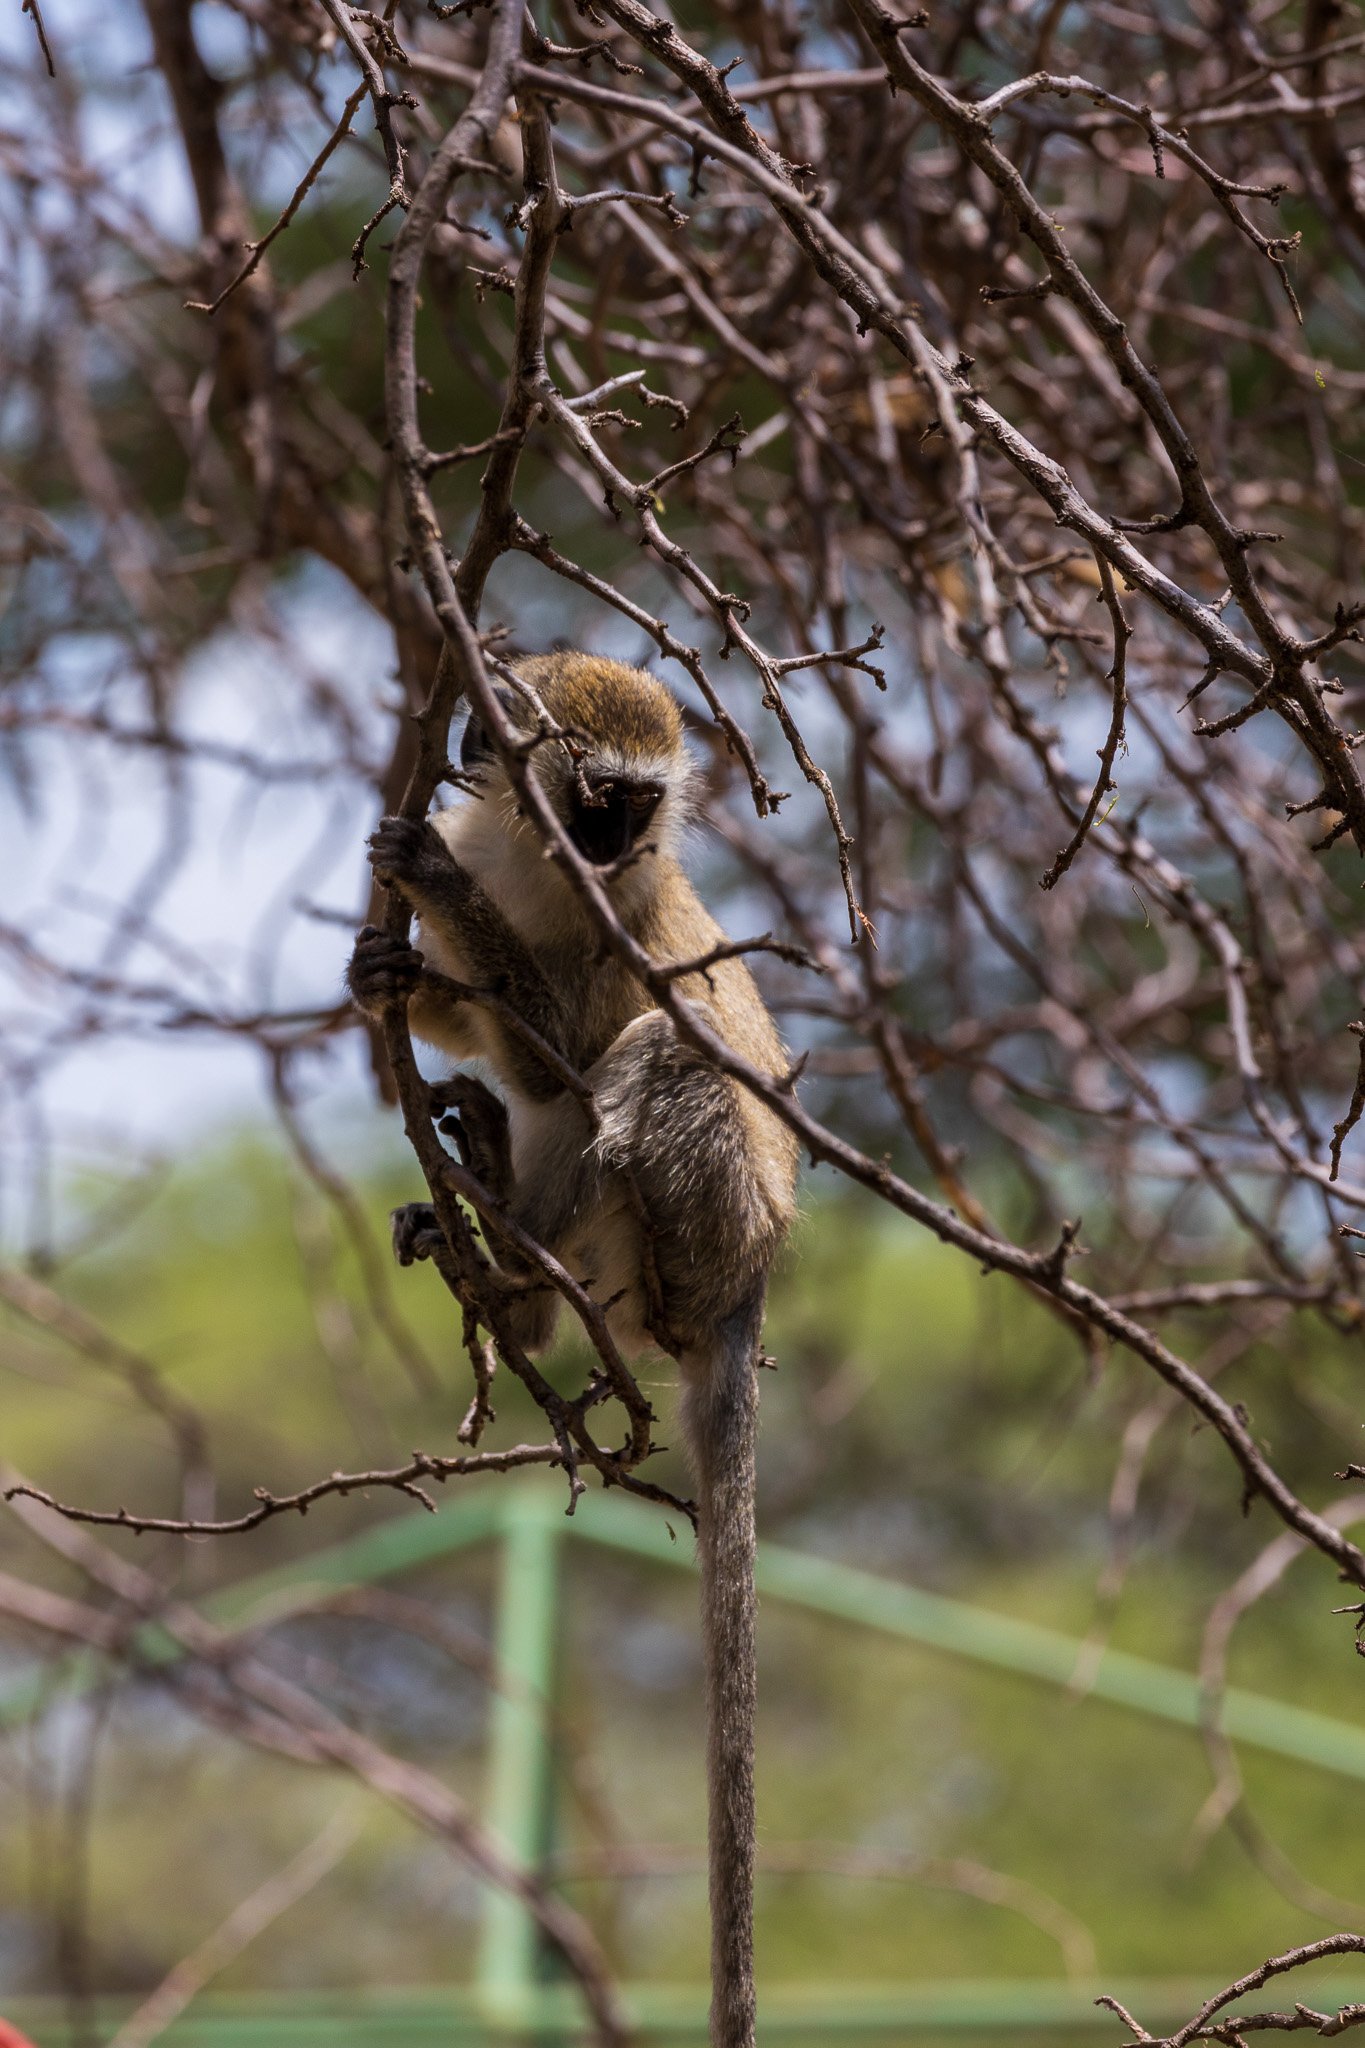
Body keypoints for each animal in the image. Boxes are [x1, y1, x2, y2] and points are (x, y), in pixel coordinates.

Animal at [347, 655, 802, 2048]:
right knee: (566, 1104)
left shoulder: (627, 923)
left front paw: (433, 887)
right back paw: (507, 1265)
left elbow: (559, 1050)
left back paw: (506, 1261)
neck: (540, 869)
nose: (613, 847)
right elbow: (485, 1031)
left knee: (646, 1058)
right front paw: (388, 970)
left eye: (635, 805)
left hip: (699, 1224)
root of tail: (748, 1287)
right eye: (593, 792)